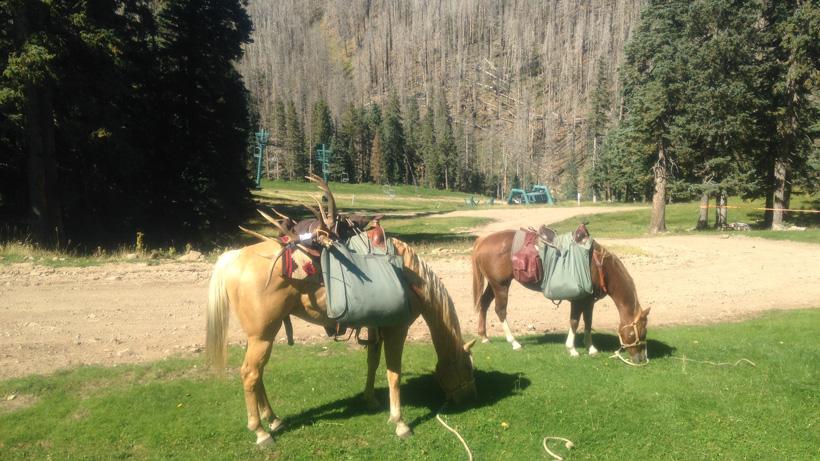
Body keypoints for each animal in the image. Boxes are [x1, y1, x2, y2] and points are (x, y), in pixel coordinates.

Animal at [206, 235, 477, 445]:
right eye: (467, 368)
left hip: (261, 337)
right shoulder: (396, 329)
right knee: (250, 374)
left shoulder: (376, 326)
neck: (412, 279)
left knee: (257, 375)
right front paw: (400, 423)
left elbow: (372, 363)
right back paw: (261, 432)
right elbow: (394, 374)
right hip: (262, 336)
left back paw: (273, 419)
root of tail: (236, 257)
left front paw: (371, 400)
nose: (469, 398)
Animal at [471, 225, 650, 363]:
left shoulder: (588, 300)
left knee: (484, 303)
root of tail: (482, 241)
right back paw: (514, 343)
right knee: (500, 310)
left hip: (494, 284)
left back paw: (484, 337)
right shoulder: (578, 300)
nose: (641, 358)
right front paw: (572, 349)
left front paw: (591, 348)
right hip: (501, 285)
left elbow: (588, 322)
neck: (598, 266)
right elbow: (575, 322)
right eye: (640, 332)